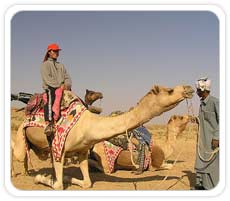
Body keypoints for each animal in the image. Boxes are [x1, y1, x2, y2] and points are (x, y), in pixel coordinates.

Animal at [11, 84, 194, 189]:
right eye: (170, 90)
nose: (189, 87)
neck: (89, 125)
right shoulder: (58, 149)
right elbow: (57, 185)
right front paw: (42, 178)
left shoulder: (82, 151)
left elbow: (87, 183)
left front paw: (68, 177)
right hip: (22, 134)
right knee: (16, 151)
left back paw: (27, 171)